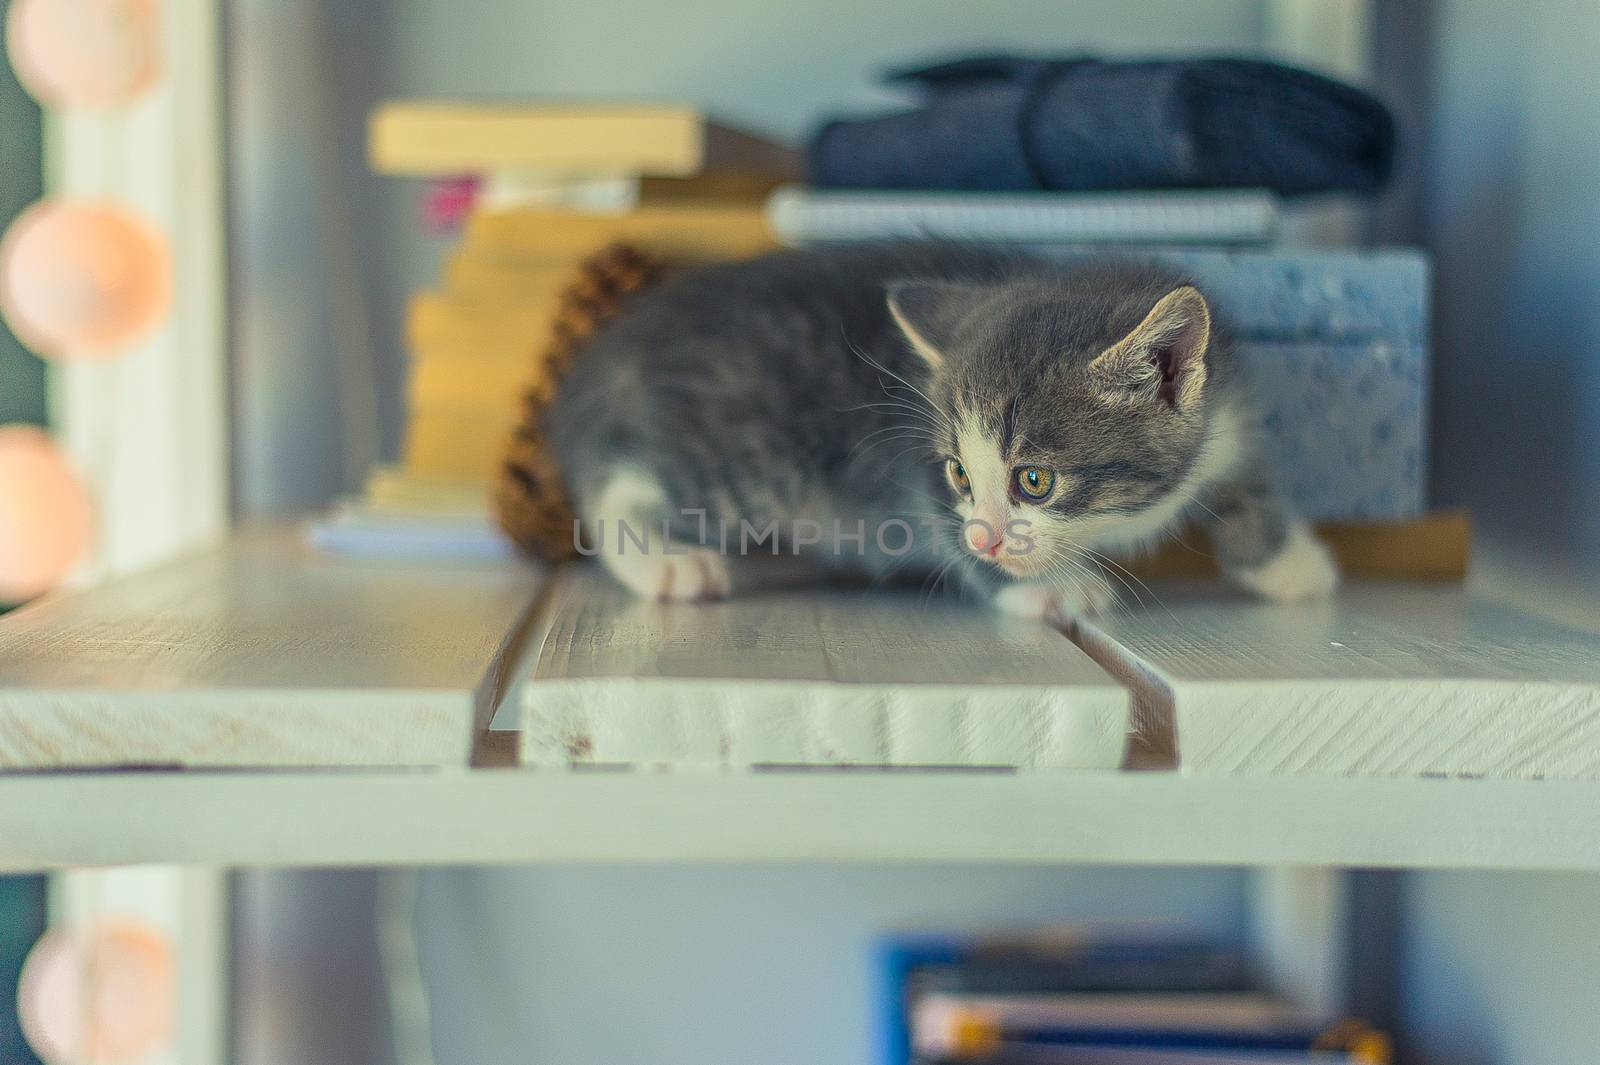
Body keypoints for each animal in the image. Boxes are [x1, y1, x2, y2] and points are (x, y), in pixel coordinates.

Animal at [550, 239, 1337, 614]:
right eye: (960, 472)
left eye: (1034, 480)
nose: (988, 536)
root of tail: (615, 346)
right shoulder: (909, 471)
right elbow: (945, 532)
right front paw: (1049, 590)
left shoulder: (1226, 409)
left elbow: (1244, 484)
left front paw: (1293, 566)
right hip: (745, 452)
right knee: (614, 483)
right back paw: (666, 561)